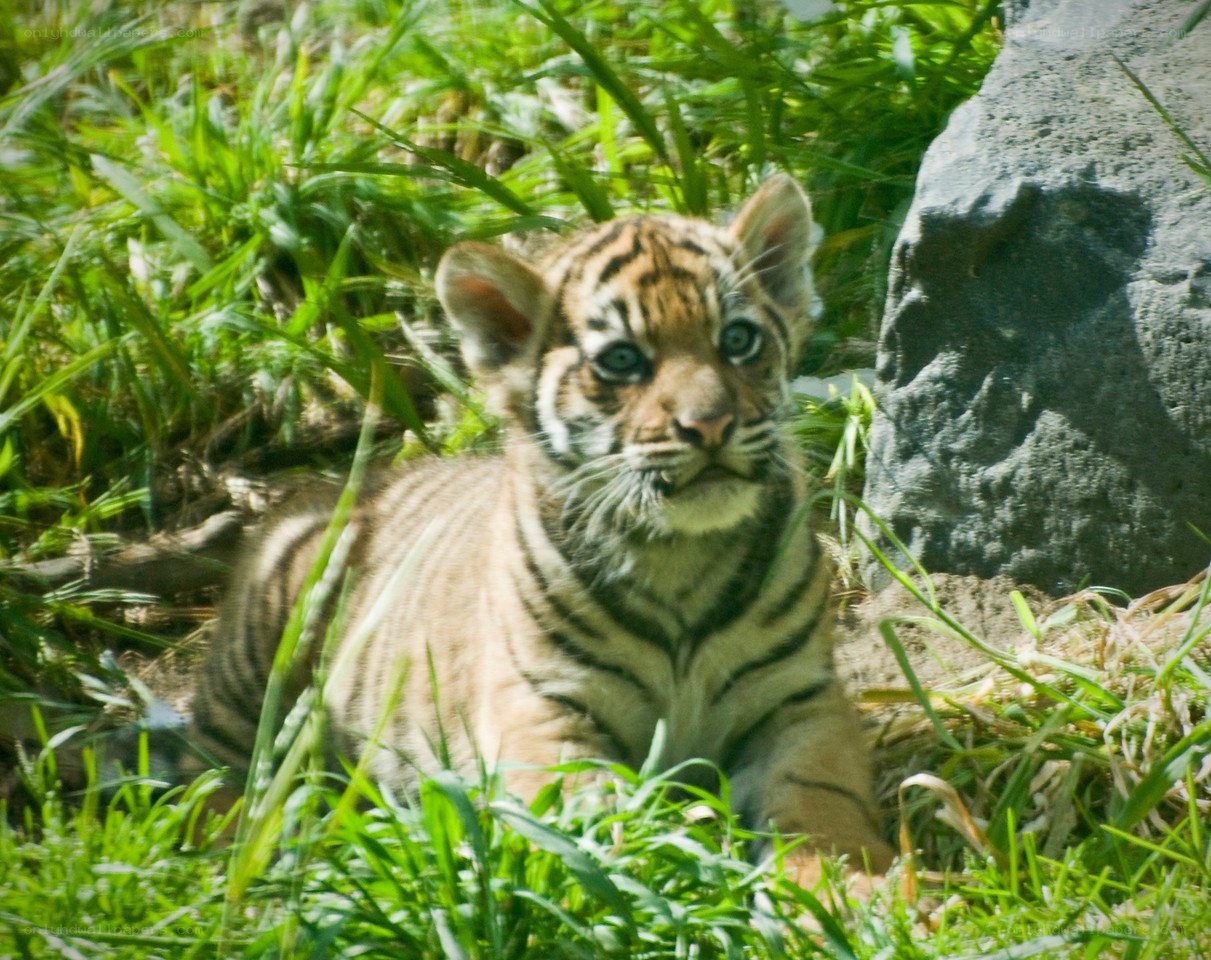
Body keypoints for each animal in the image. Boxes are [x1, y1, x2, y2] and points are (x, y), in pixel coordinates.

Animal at [186, 174, 893, 887]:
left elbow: (819, 799)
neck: (679, 558)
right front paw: (646, 877)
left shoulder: (800, 699)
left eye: (740, 340)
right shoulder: (545, 707)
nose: (711, 425)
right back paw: (253, 842)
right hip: (264, 657)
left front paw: (848, 882)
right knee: (208, 774)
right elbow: (587, 816)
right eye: (622, 360)